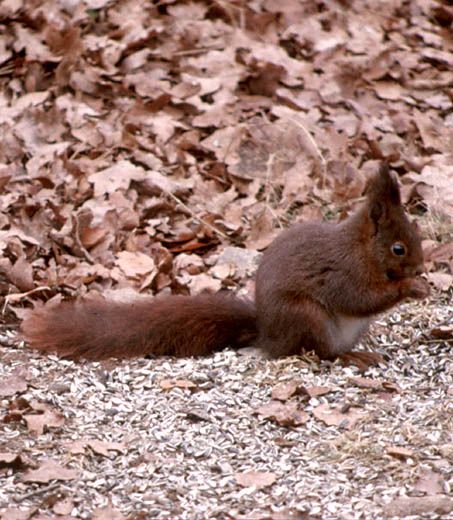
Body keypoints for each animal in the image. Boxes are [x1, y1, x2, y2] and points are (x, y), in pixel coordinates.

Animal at [21, 164, 430, 366]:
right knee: (319, 353)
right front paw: (410, 288)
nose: (421, 267)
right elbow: (359, 299)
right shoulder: (342, 273)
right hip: (306, 318)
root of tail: (268, 335)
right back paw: (351, 356)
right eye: (398, 248)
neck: (362, 250)